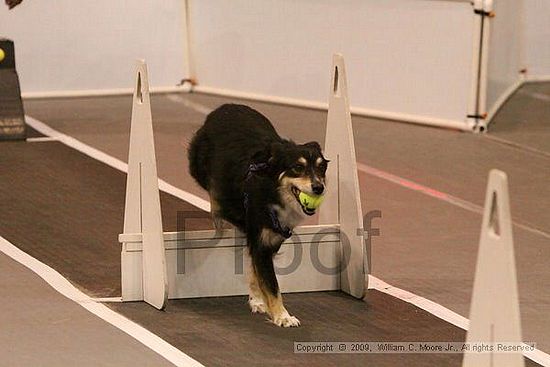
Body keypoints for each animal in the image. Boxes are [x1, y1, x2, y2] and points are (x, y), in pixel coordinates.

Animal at [188, 104, 330, 328]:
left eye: (321, 167)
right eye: (298, 168)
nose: (318, 188)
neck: (272, 190)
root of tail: (224, 107)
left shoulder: (271, 240)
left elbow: (257, 274)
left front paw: (257, 300)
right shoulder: (261, 241)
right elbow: (272, 284)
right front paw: (283, 316)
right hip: (201, 169)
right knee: (215, 201)